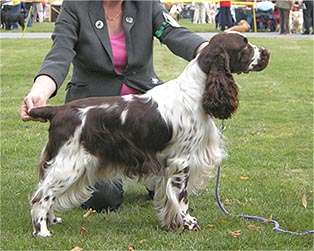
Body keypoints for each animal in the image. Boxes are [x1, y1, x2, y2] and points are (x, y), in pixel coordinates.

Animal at [27, 32, 270, 236]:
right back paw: (42, 231)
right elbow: (182, 198)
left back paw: (53, 220)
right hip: (69, 164)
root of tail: (58, 110)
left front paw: (173, 223)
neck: (196, 91)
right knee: (40, 196)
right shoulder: (181, 161)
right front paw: (188, 223)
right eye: (245, 45)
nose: (267, 52)